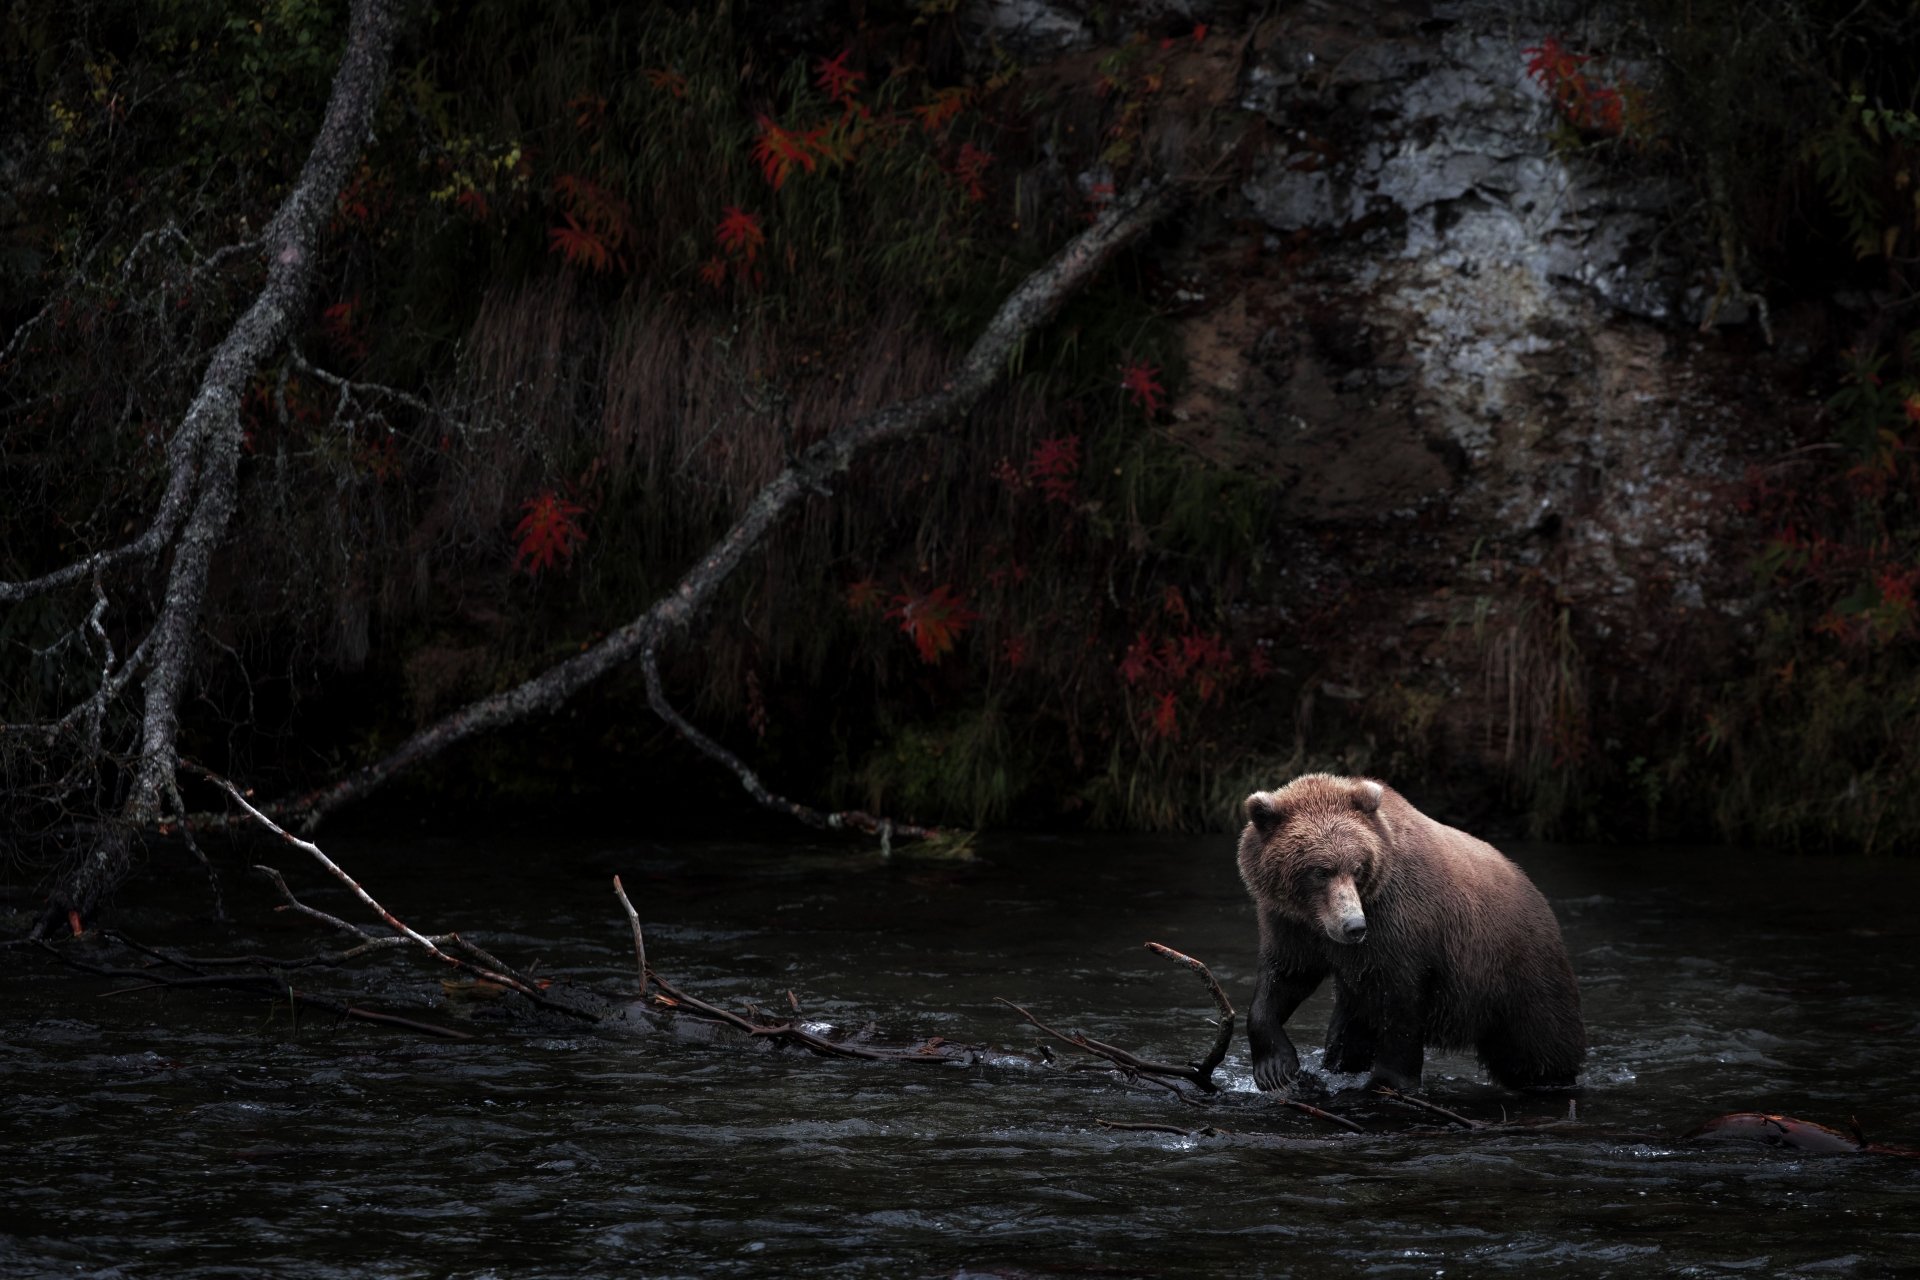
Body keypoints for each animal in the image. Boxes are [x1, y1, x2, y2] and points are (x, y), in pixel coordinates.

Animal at [1236, 773, 1584, 1093]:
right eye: (1320, 871)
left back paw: (1551, 1078)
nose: (1354, 926)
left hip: (1516, 975)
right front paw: (1276, 1069)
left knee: (1537, 1045)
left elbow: (1399, 1004)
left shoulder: (1398, 925)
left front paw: (1386, 1081)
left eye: (1358, 867)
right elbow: (1286, 977)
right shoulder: (1293, 925)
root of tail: (1538, 897)